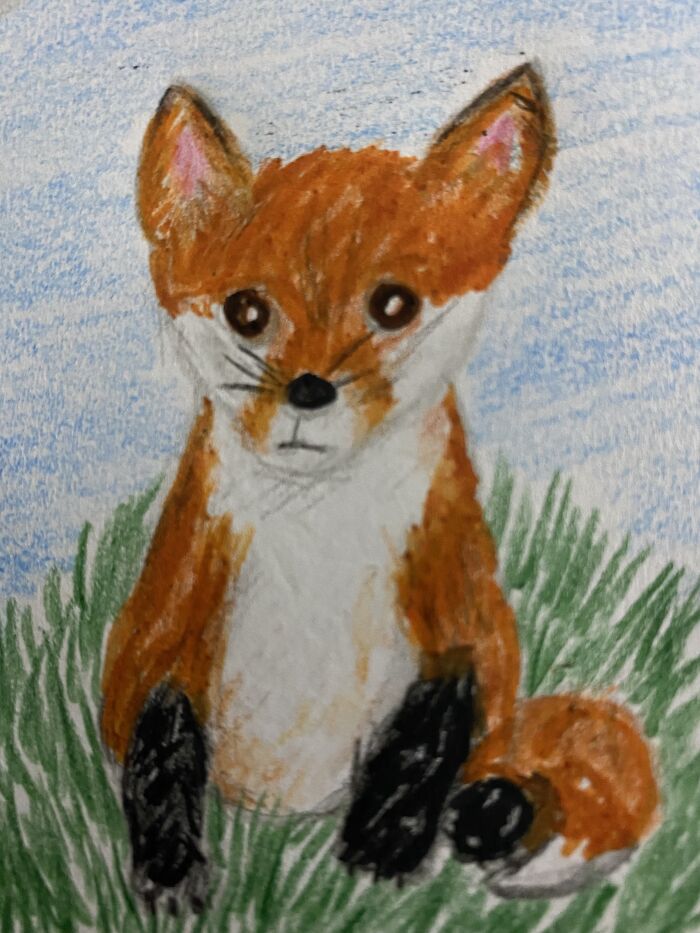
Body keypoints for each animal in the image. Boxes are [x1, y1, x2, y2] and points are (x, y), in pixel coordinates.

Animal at [101, 64, 659, 911]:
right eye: (247, 311)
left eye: (392, 303)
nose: (309, 390)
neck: (318, 539)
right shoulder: (165, 625)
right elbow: (160, 756)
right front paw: (169, 872)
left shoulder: (460, 610)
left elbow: (427, 739)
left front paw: (383, 852)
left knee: (496, 781)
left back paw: (485, 821)